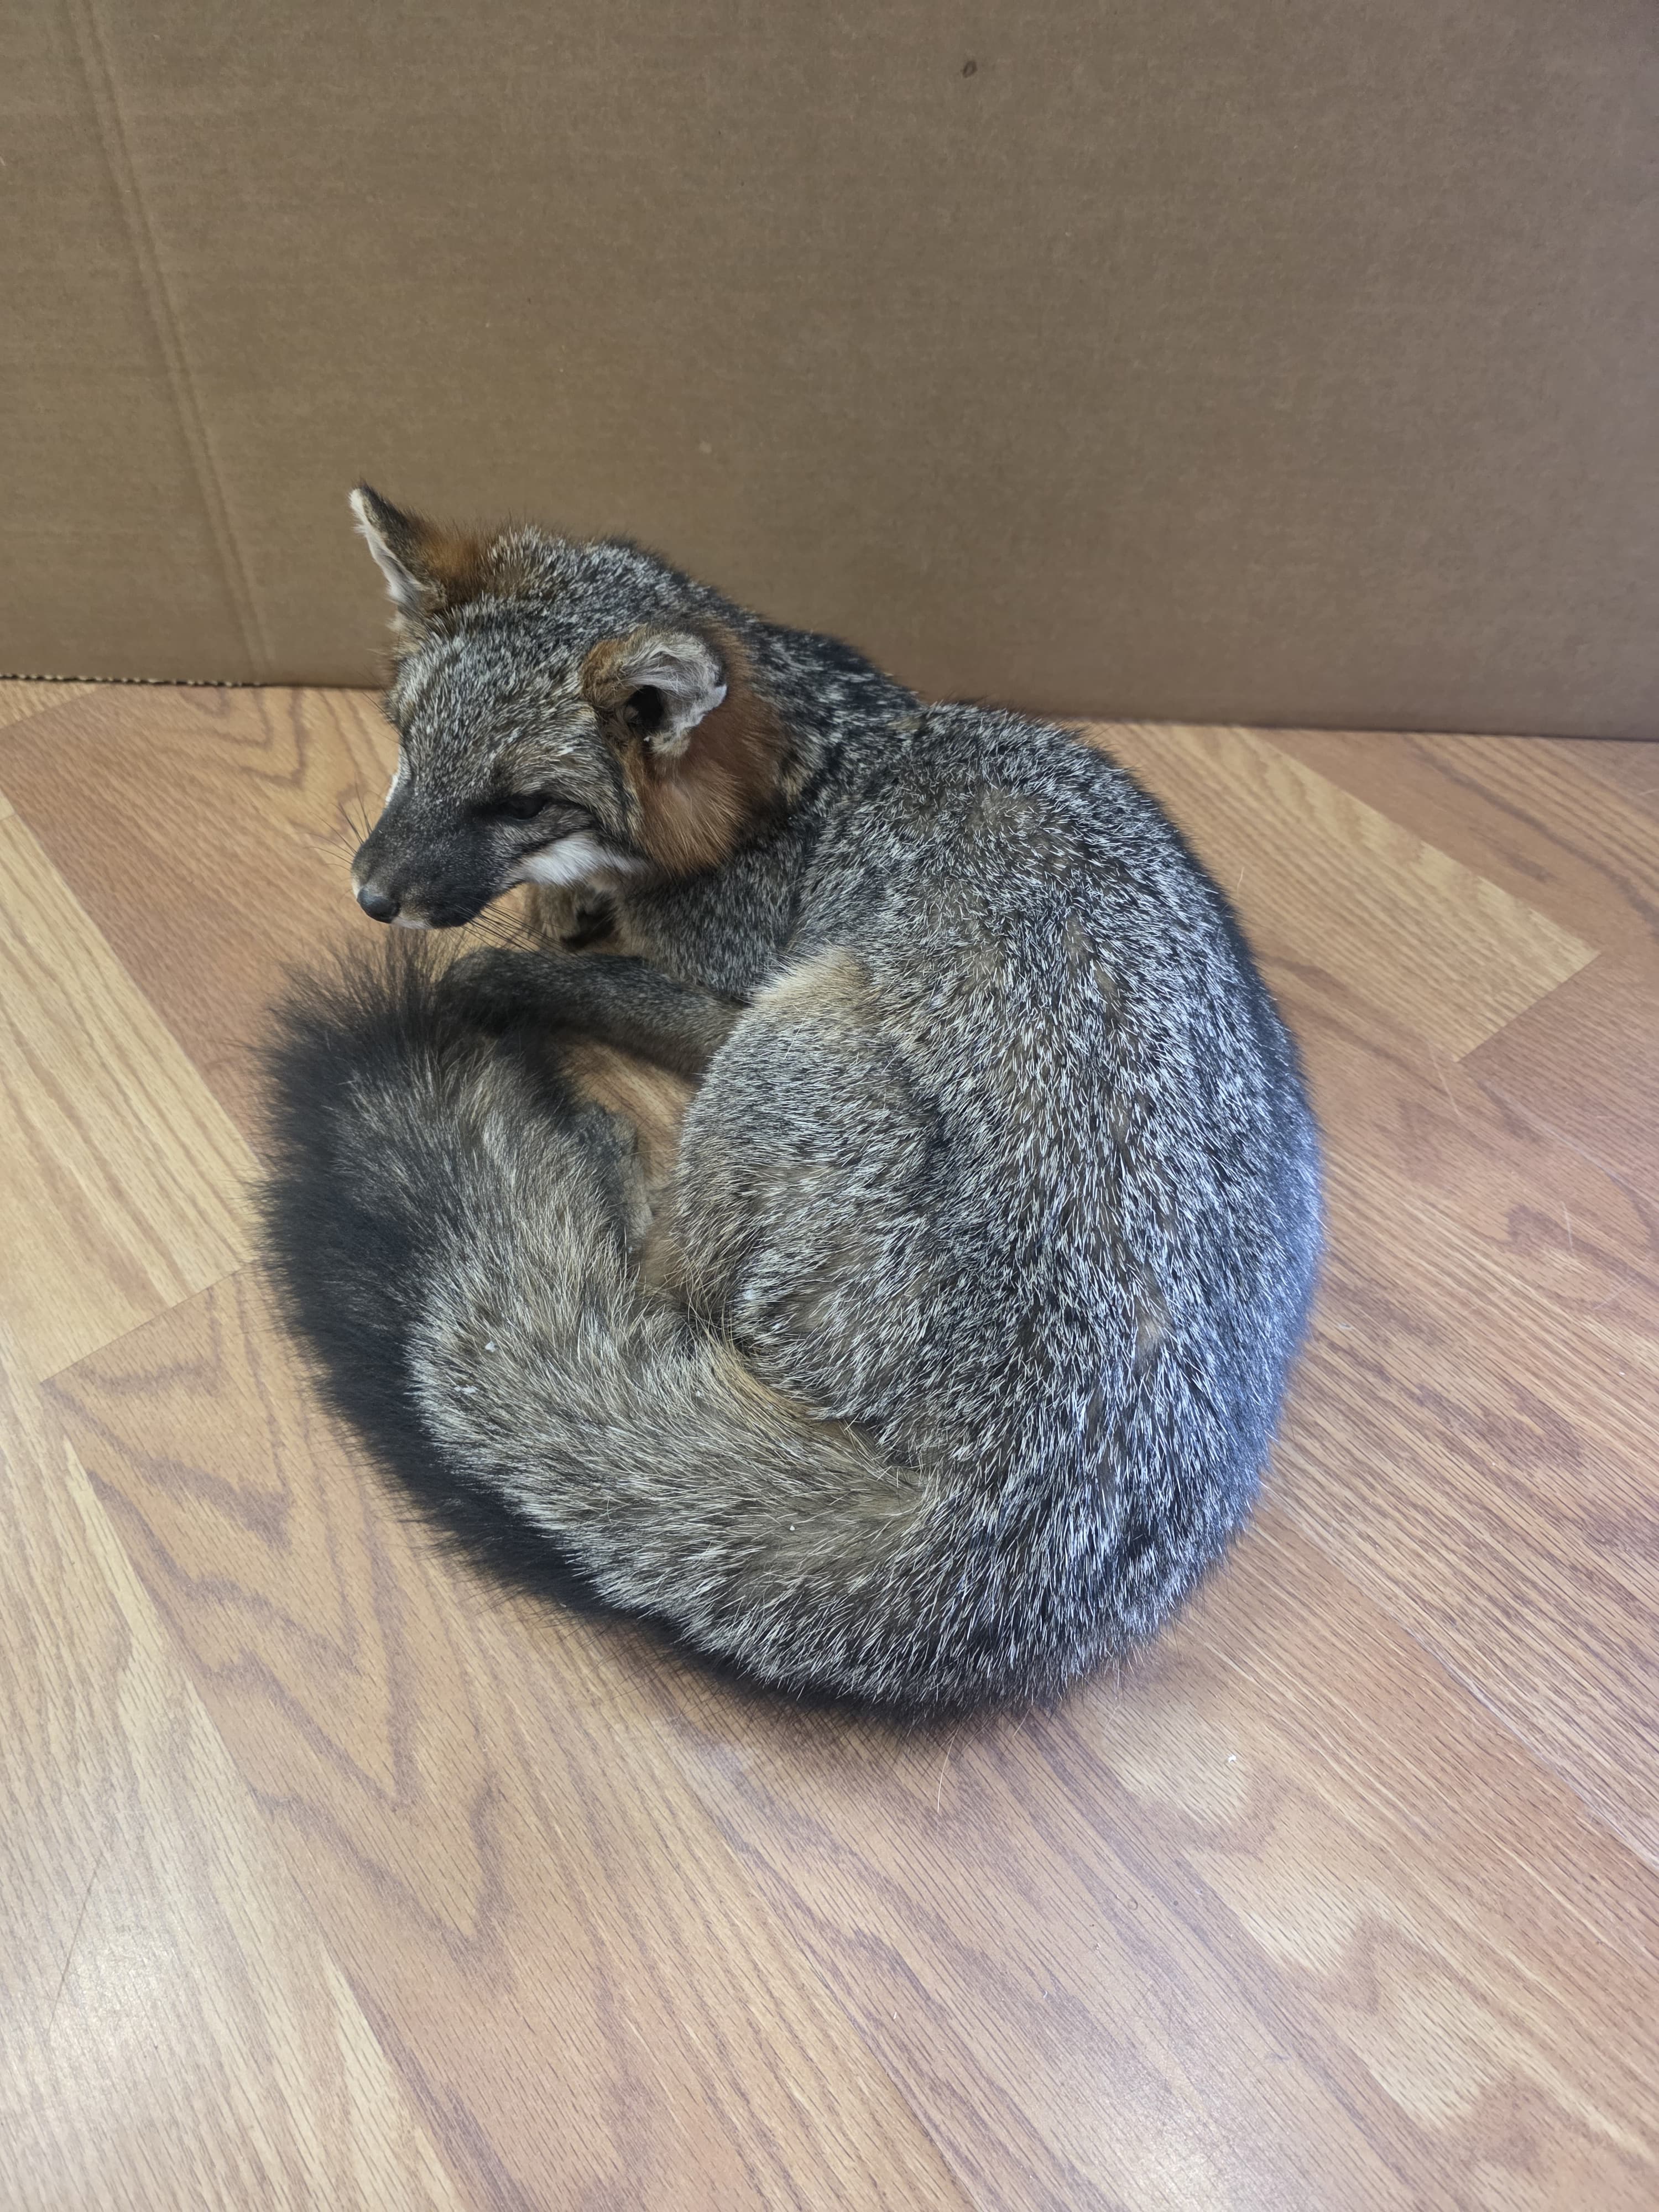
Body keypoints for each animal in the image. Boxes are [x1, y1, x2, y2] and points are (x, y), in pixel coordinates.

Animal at [259, 485, 1322, 1713]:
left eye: (520, 801)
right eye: (407, 745)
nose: (372, 895)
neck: (804, 777)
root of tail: (1039, 1507)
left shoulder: (734, 992)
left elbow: (568, 975)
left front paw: (515, 965)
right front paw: (565, 913)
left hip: (792, 1032)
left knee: (663, 1290)